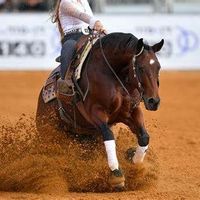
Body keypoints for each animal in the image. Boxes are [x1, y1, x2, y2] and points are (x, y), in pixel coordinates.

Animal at [36, 32, 164, 190]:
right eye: (140, 67)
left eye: (158, 67)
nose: (154, 101)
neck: (113, 74)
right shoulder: (95, 112)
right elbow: (109, 136)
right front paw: (116, 174)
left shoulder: (131, 111)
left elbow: (144, 137)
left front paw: (132, 160)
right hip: (50, 134)